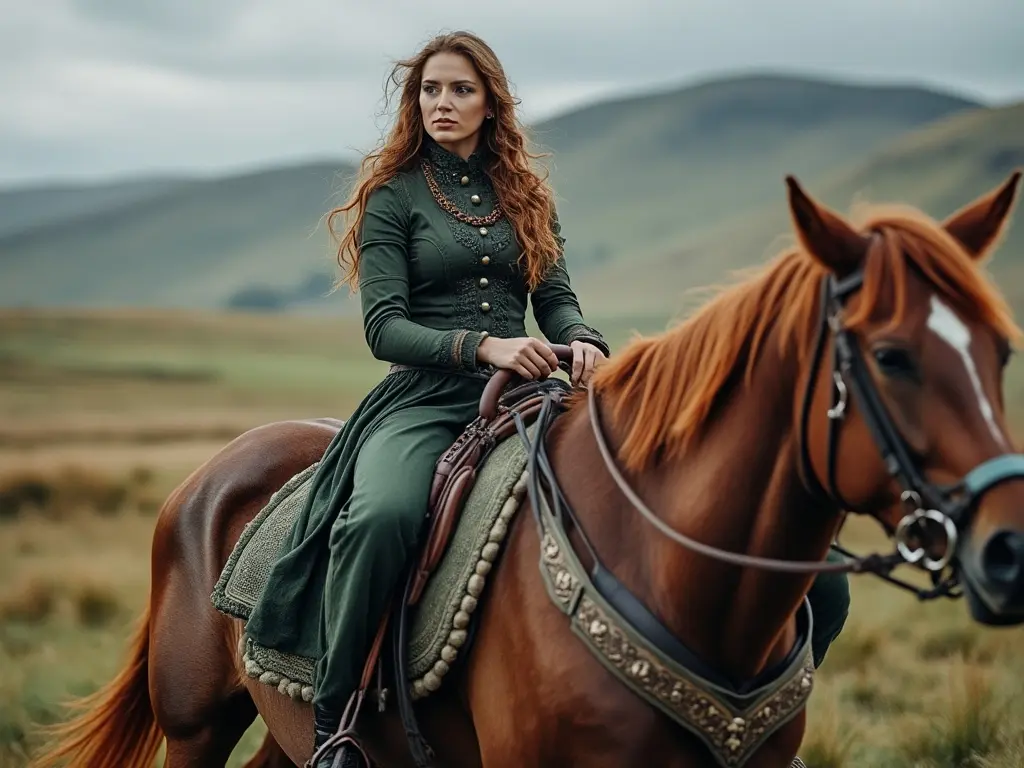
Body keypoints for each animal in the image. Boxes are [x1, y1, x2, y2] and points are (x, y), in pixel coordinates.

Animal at [28, 173, 1019, 768]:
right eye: (891, 356)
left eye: (1003, 350)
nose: (1008, 551)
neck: (668, 572)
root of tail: (208, 479)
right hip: (197, 722)